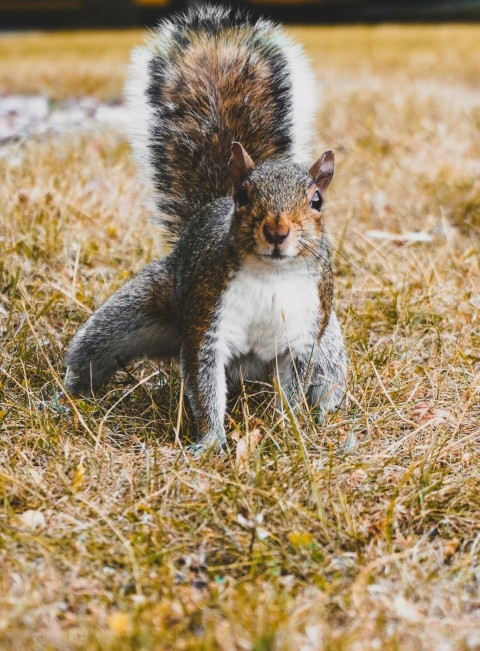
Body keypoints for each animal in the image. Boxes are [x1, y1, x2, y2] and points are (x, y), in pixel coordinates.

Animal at [65, 5, 346, 454]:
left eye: (317, 201)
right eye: (244, 196)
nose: (277, 232)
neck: (271, 275)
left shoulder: (301, 338)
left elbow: (292, 388)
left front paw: (288, 430)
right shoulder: (207, 323)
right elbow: (205, 384)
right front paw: (211, 441)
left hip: (328, 339)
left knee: (329, 372)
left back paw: (326, 408)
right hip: (139, 311)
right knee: (93, 354)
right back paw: (63, 398)